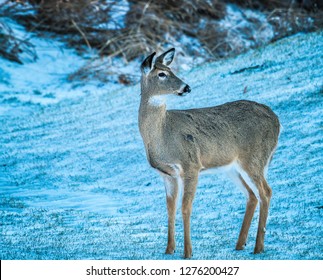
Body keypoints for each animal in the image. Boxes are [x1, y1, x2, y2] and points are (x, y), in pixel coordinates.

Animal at [139, 47, 280, 258]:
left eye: (172, 70)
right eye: (162, 74)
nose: (186, 87)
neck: (162, 134)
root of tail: (276, 118)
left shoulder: (191, 164)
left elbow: (185, 207)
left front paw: (187, 252)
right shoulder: (167, 174)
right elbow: (170, 209)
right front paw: (169, 249)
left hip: (254, 157)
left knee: (266, 192)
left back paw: (258, 247)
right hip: (233, 167)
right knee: (252, 195)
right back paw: (240, 244)